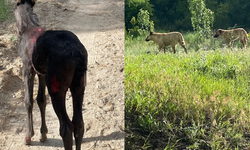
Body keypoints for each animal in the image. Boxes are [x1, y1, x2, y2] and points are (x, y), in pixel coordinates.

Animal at [14, 0, 88, 149]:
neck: (27, 26)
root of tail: (75, 52)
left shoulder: (27, 68)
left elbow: (28, 100)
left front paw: (29, 135)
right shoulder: (41, 72)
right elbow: (41, 100)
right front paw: (43, 134)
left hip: (56, 87)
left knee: (66, 127)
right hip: (79, 85)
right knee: (79, 124)